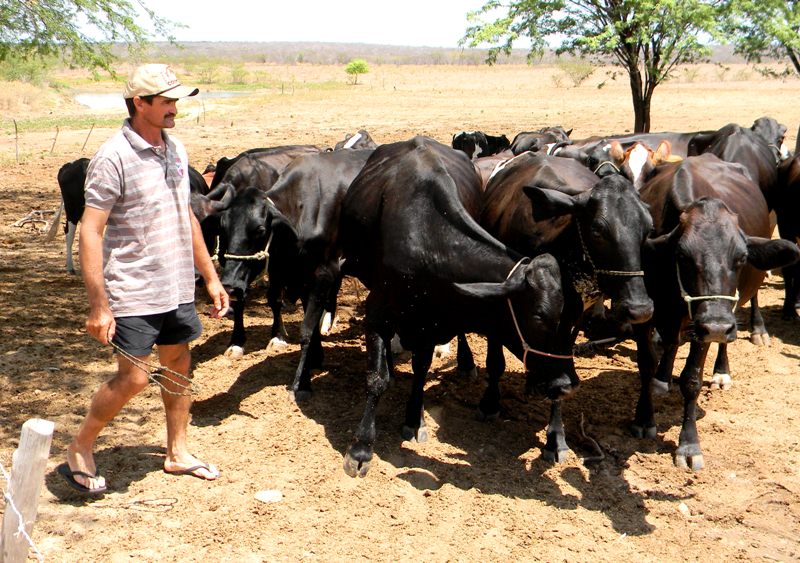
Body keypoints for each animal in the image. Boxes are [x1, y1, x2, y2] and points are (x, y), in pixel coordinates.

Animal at [214, 150, 374, 396]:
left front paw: (302, 382)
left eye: (260, 229)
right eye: (223, 226)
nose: (230, 285)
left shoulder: (324, 273)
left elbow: (306, 329)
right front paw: (316, 357)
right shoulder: (299, 278)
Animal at [338, 137, 576, 476]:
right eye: (539, 316)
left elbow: (422, 367)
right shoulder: (377, 314)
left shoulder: (431, 322)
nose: (567, 384)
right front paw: (360, 448)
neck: (427, 239)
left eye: (565, 314)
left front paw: (414, 418)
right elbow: (376, 378)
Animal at [632, 152, 800, 470]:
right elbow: (645, 364)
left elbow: (691, 380)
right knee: (672, 342)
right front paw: (644, 417)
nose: (718, 326)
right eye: (682, 256)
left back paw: (733, 357)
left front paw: (689, 445)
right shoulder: (645, 315)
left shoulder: (704, 328)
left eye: (742, 257)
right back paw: (663, 376)